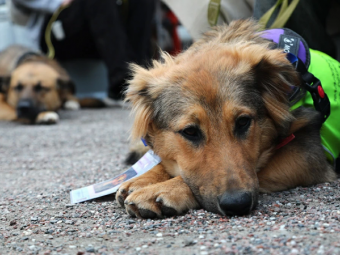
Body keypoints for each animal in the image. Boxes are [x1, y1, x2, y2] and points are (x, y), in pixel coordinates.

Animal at [115, 19, 338, 219]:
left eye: (243, 122)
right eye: (190, 131)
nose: (237, 204)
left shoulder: (307, 155)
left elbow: (260, 168)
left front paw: (164, 189)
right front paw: (144, 178)